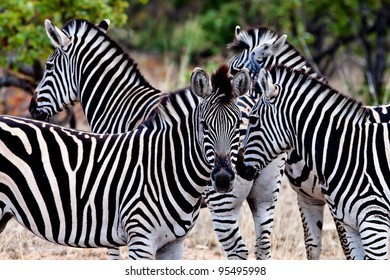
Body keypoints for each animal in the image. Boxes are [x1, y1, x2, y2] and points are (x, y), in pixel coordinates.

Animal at [29, 18, 253, 260]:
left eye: (48, 66)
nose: (32, 109)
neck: (116, 102)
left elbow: (113, 252)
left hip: (221, 199)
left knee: (237, 249)